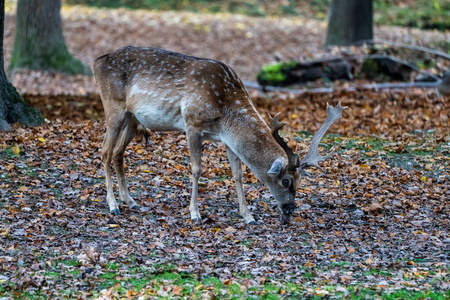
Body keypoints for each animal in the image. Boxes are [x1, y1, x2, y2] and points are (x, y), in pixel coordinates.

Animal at [92, 47, 344, 224]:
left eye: (300, 181)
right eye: (286, 181)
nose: (290, 209)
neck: (225, 113)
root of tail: (96, 62)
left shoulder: (227, 140)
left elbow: (238, 174)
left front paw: (248, 216)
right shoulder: (192, 124)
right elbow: (196, 169)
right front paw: (194, 214)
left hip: (133, 119)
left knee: (118, 153)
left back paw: (130, 201)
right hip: (113, 107)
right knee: (104, 151)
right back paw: (113, 205)